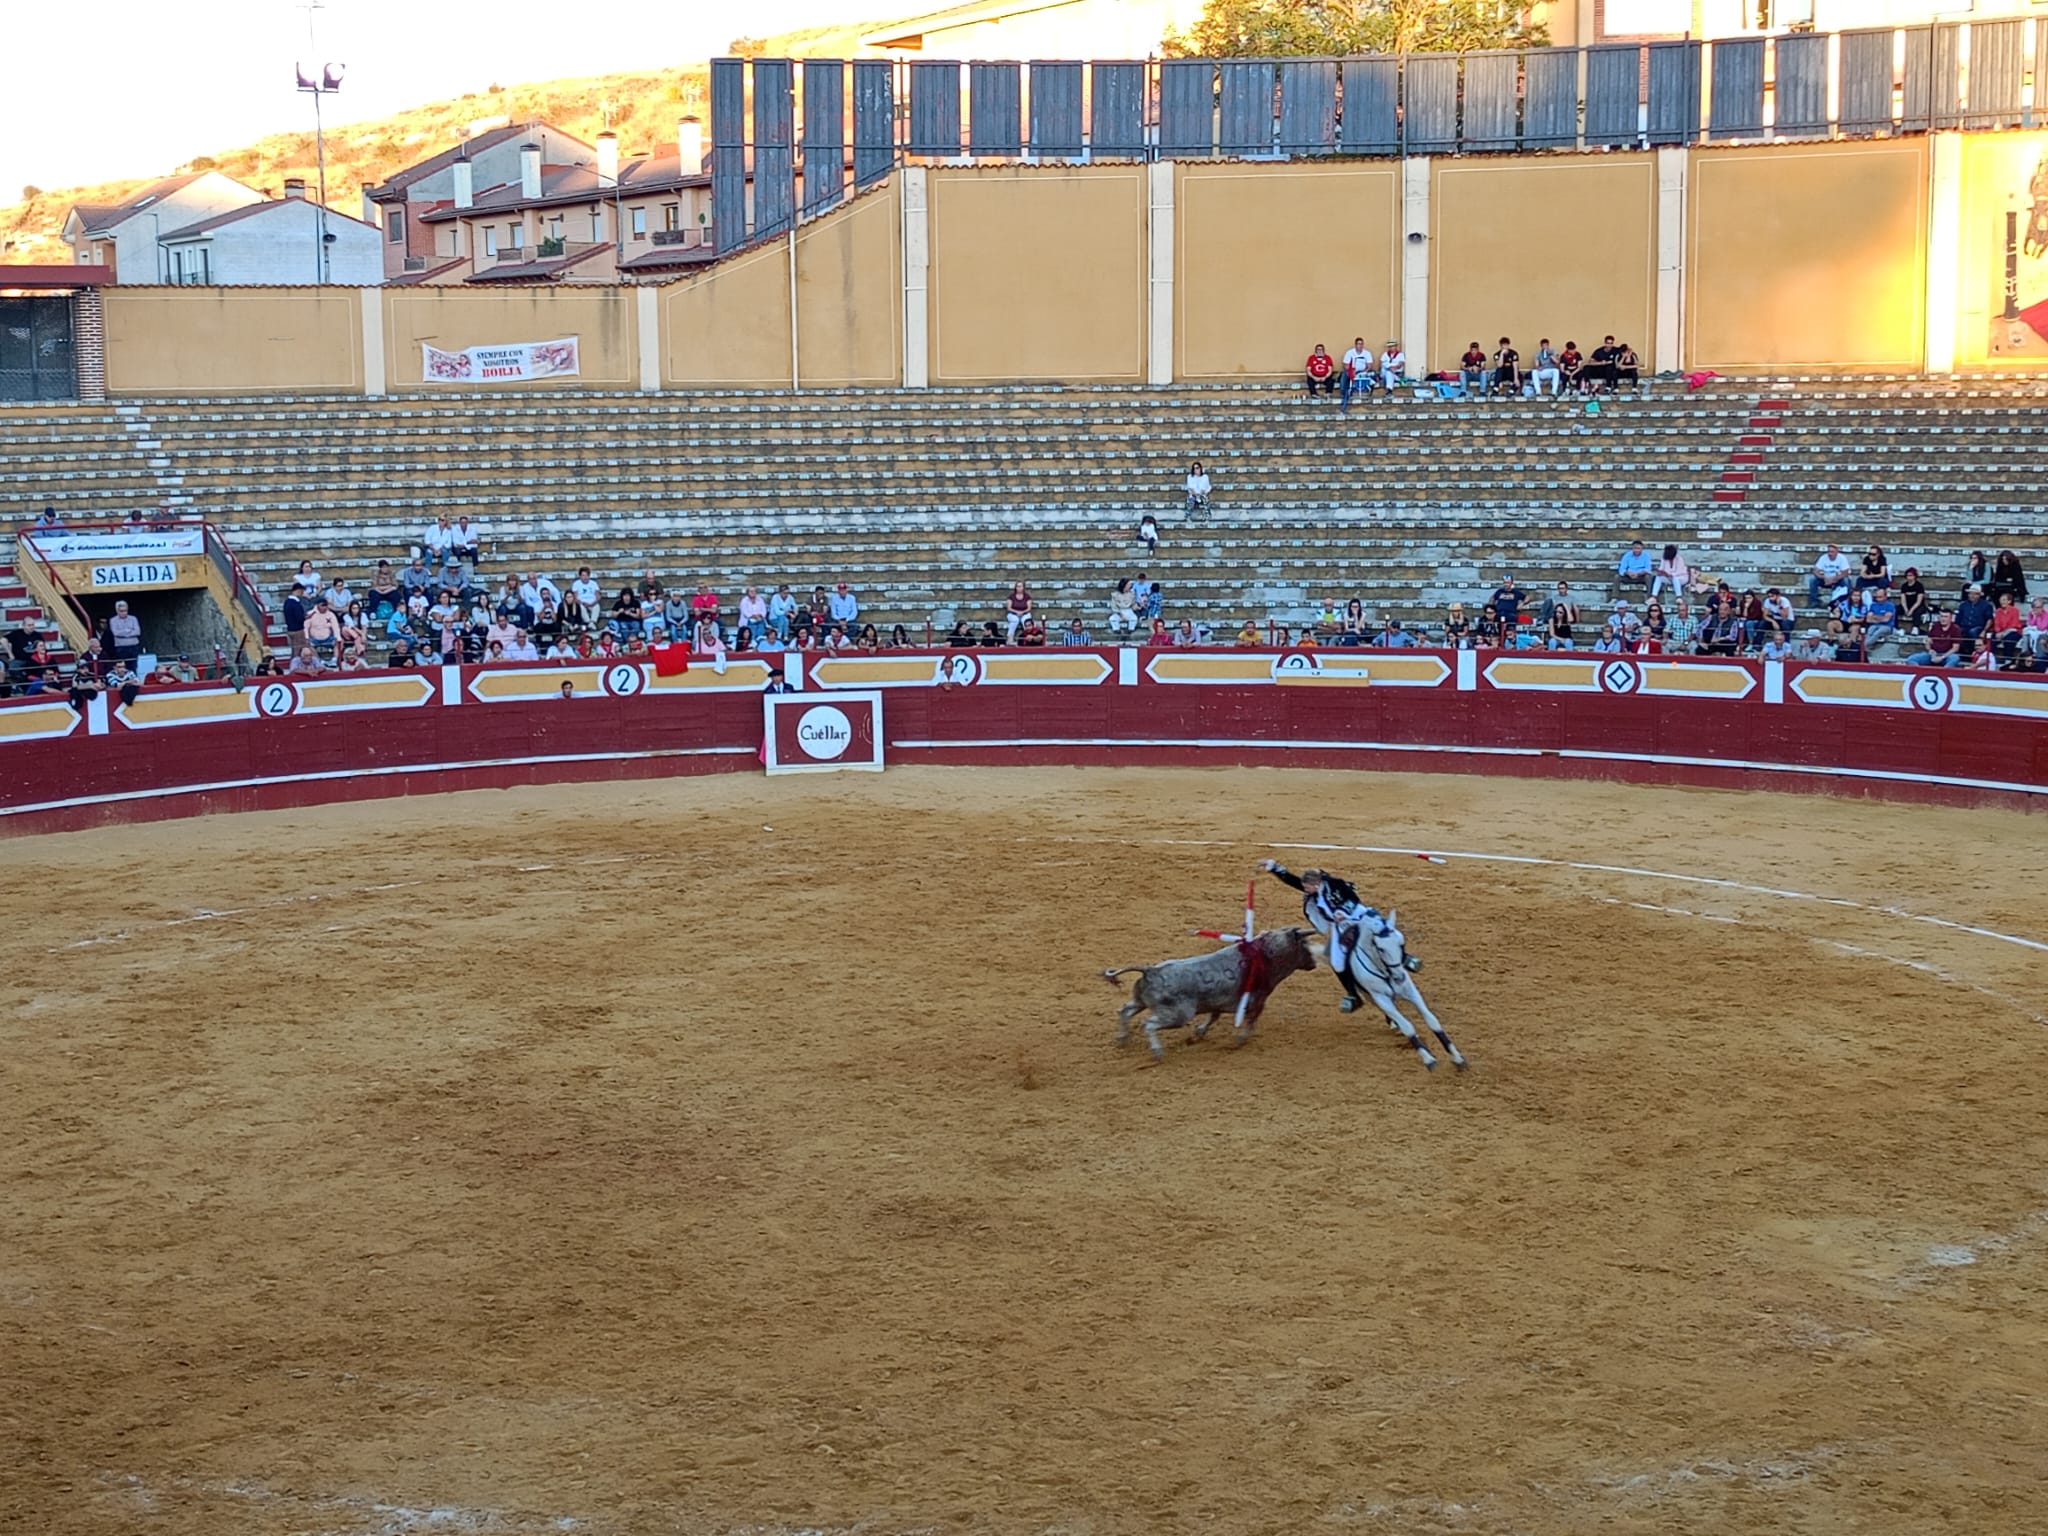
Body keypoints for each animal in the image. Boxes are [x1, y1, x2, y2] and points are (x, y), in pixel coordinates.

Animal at [1114, 933, 1318, 1064]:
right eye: (1305, 945)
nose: (1314, 963)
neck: (1266, 955)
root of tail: (1151, 971)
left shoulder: (1218, 1002)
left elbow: (1214, 1016)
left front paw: (1200, 1032)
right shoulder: (1258, 1000)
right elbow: (1251, 1020)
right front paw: (1241, 1040)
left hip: (1140, 1001)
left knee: (1124, 1011)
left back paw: (1123, 1039)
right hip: (1178, 1015)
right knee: (1148, 1024)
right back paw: (1157, 1052)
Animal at [1335, 913, 1466, 1073]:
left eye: (1401, 944)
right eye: (1380, 949)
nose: (1399, 977)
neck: (1386, 972)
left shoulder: (1410, 991)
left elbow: (1432, 1020)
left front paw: (1457, 1057)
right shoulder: (1380, 997)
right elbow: (1408, 1027)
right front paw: (1429, 1059)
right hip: (1368, 994)